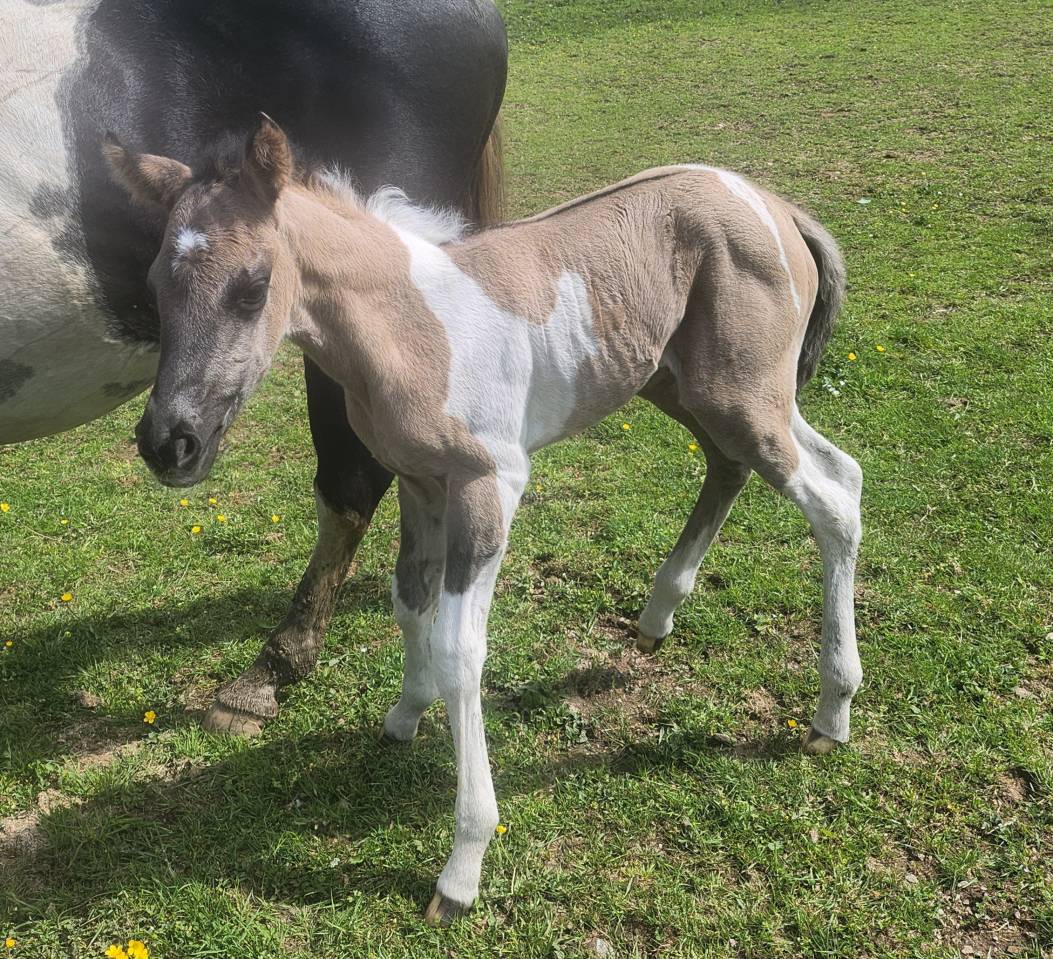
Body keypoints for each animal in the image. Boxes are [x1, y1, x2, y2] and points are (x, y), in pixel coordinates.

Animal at [102, 114, 863, 924]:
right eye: (153, 287)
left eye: (251, 289)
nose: (168, 444)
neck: (409, 327)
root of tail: (774, 205)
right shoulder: (418, 482)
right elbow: (410, 603)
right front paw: (405, 714)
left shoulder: (488, 482)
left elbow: (460, 647)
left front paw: (461, 867)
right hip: (685, 384)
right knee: (746, 468)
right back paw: (658, 616)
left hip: (742, 395)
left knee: (835, 496)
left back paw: (831, 713)